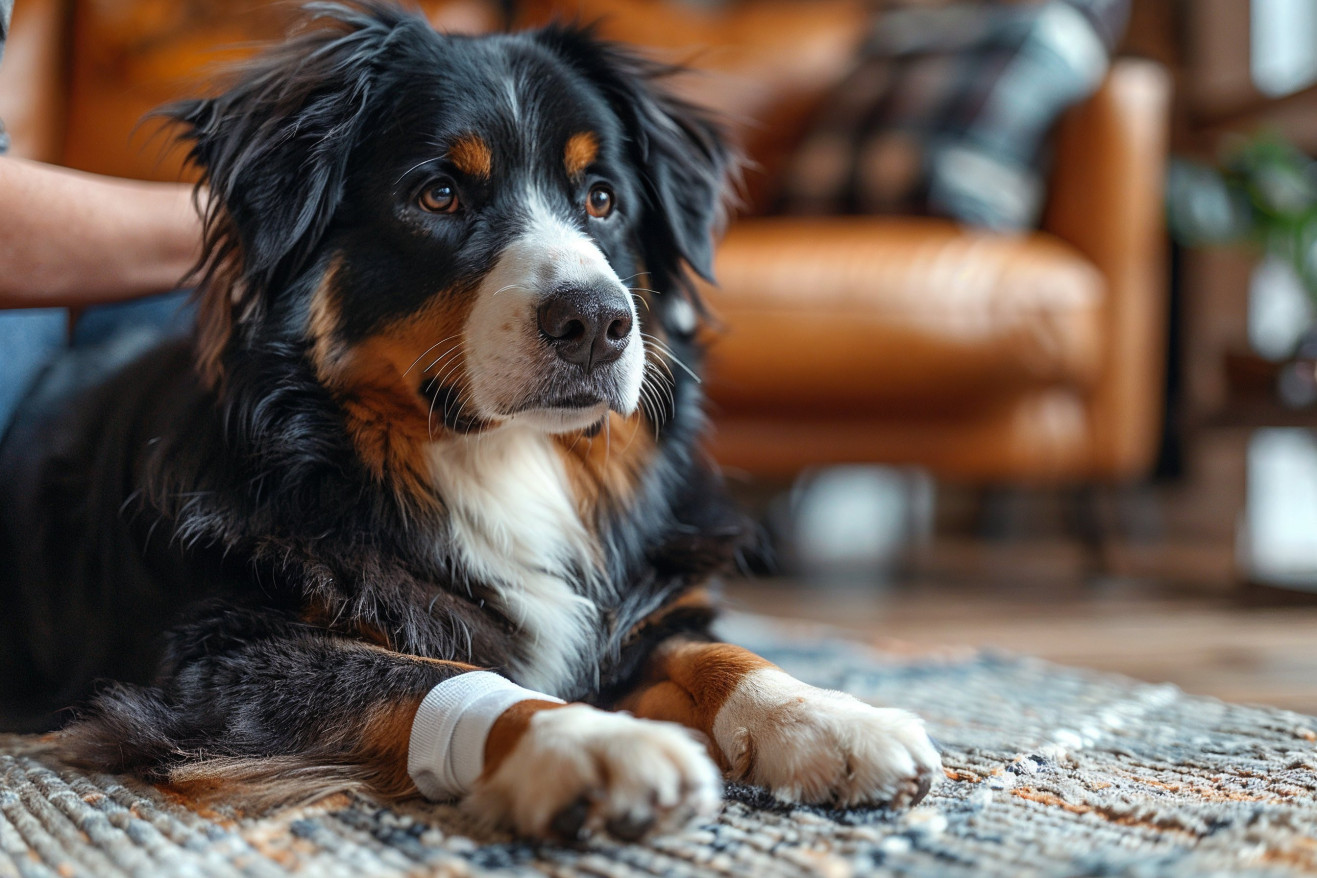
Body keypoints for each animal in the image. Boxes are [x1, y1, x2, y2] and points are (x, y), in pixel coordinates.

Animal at [0, 1, 942, 842]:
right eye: (440, 194)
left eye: (602, 199)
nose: (596, 322)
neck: (496, 457)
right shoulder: (209, 661)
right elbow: (423, 674)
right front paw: (589, 742)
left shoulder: (638, 605)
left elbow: (716, 654)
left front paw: (830, 720)